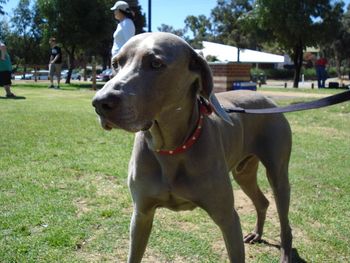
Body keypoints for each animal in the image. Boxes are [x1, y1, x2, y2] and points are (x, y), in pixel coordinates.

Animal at [91, 32, 292, 262]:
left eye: (156, 63)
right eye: (115, 63)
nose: (100, 102)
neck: (170, 149)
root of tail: (268, 99)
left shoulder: (228, 217)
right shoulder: (141, 214)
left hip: (278, 174)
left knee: (284, 220)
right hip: (243, 173)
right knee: (262, 201)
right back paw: (256, 234)